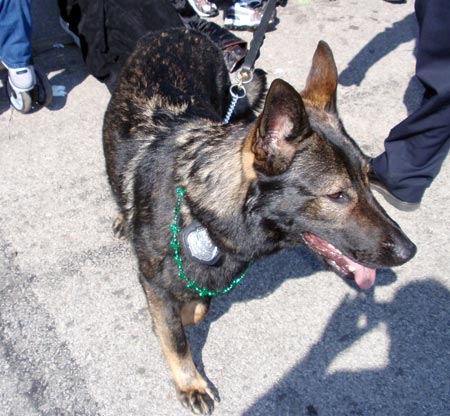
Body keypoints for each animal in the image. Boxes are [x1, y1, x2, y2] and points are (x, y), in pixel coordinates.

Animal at [102, 28, 414, 412]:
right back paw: (123, 216)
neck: (202, 207)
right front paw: (190, 382)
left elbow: (197, 308)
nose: (409, 251)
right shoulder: (154, 281)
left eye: (369, 178)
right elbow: (176, 337)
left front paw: (185, 313)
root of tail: (181, 30)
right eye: (337, 195)